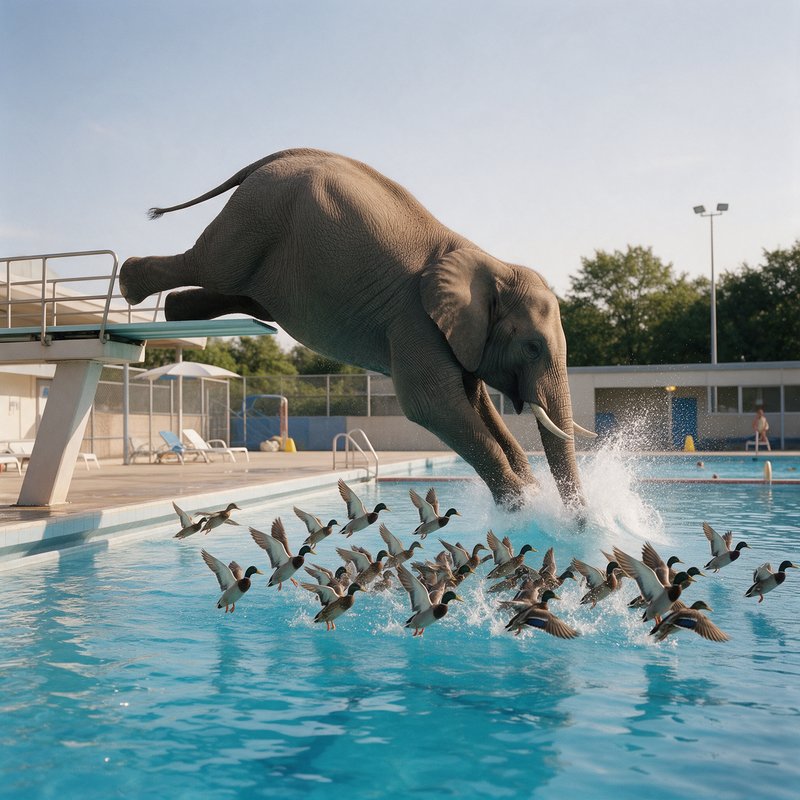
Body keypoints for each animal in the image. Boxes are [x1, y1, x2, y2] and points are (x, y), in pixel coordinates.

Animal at [119, 148, 594, 509]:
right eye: (532, 348)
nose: (581, 523)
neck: (491, 263)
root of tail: (272, 159)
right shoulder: (415, 323)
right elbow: (431, 405)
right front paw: (521, 507)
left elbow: (478, 406)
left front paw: (530, 496)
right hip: (254, 217)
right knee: (208, 263)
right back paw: (127, 285)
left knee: (245, 294)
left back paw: (175, 313)